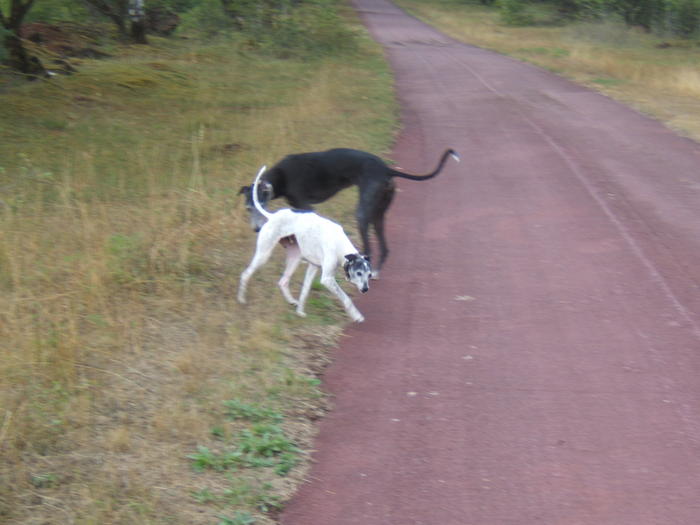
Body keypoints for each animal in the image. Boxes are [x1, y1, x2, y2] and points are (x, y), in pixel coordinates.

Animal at [238, 166, 372, 322]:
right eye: (358, 273)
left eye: (369, 275)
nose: (365, 289)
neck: (340, 245)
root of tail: (272, 216)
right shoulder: (327, 279)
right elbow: (346, 298)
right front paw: (356, 315)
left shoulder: (313, 267)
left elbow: (305, 291)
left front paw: (300, 312)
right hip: (264, 254)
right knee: (245, 274)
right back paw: (241, 299)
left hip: (295, 257)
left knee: (283, 281)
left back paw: (291, 301)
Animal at [241, 147, 460, 276]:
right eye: (248, 208)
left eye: (260, 205)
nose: (255, 230)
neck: (281, 176)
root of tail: (387, 169)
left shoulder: (306, 208)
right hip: (378, 213)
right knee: (384, 246)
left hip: (363, 214)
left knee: (369, 246)